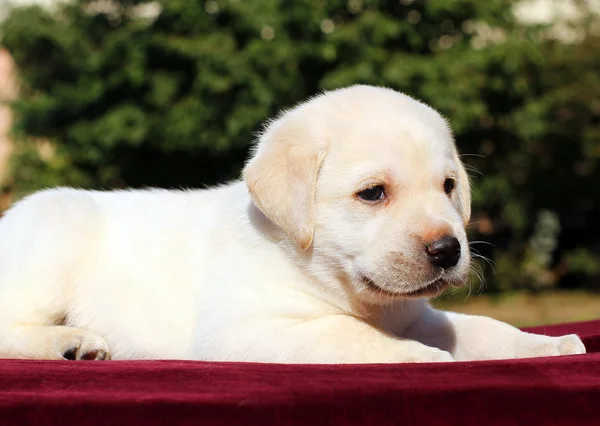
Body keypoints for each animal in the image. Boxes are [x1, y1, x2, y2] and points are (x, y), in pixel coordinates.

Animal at [0, 85, 584, 362]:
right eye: (373, 193)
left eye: (447, 187)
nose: (447, 250)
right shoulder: (246, 330)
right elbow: (350, 338)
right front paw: (421, 360)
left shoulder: (419, 314)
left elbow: (484, 329)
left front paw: (549, 346)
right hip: (49, 251)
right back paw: (69, 342)